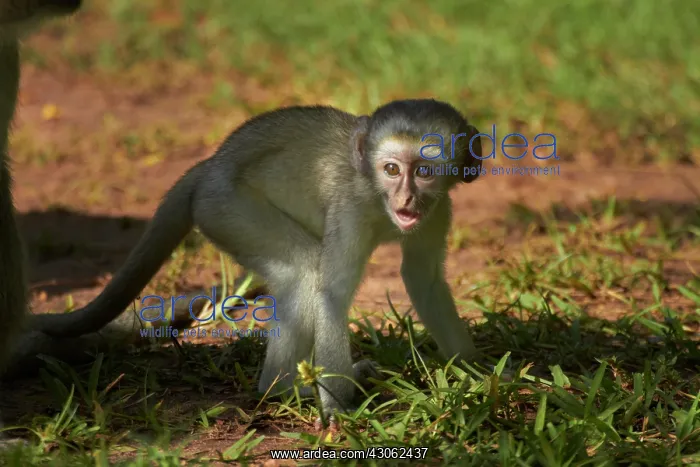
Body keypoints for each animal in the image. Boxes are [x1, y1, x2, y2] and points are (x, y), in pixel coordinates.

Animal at [32, 98, 484, 417]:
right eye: (391, 169)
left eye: (423, 172)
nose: (406, 198)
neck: (378, 196)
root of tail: (209, 167)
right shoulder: (352, 204)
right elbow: (332, 294)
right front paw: (340, 410)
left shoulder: (436, 210)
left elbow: (424, 279)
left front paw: (476, 374)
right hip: (226, 209)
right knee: (303, 271)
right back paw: (283, 389)